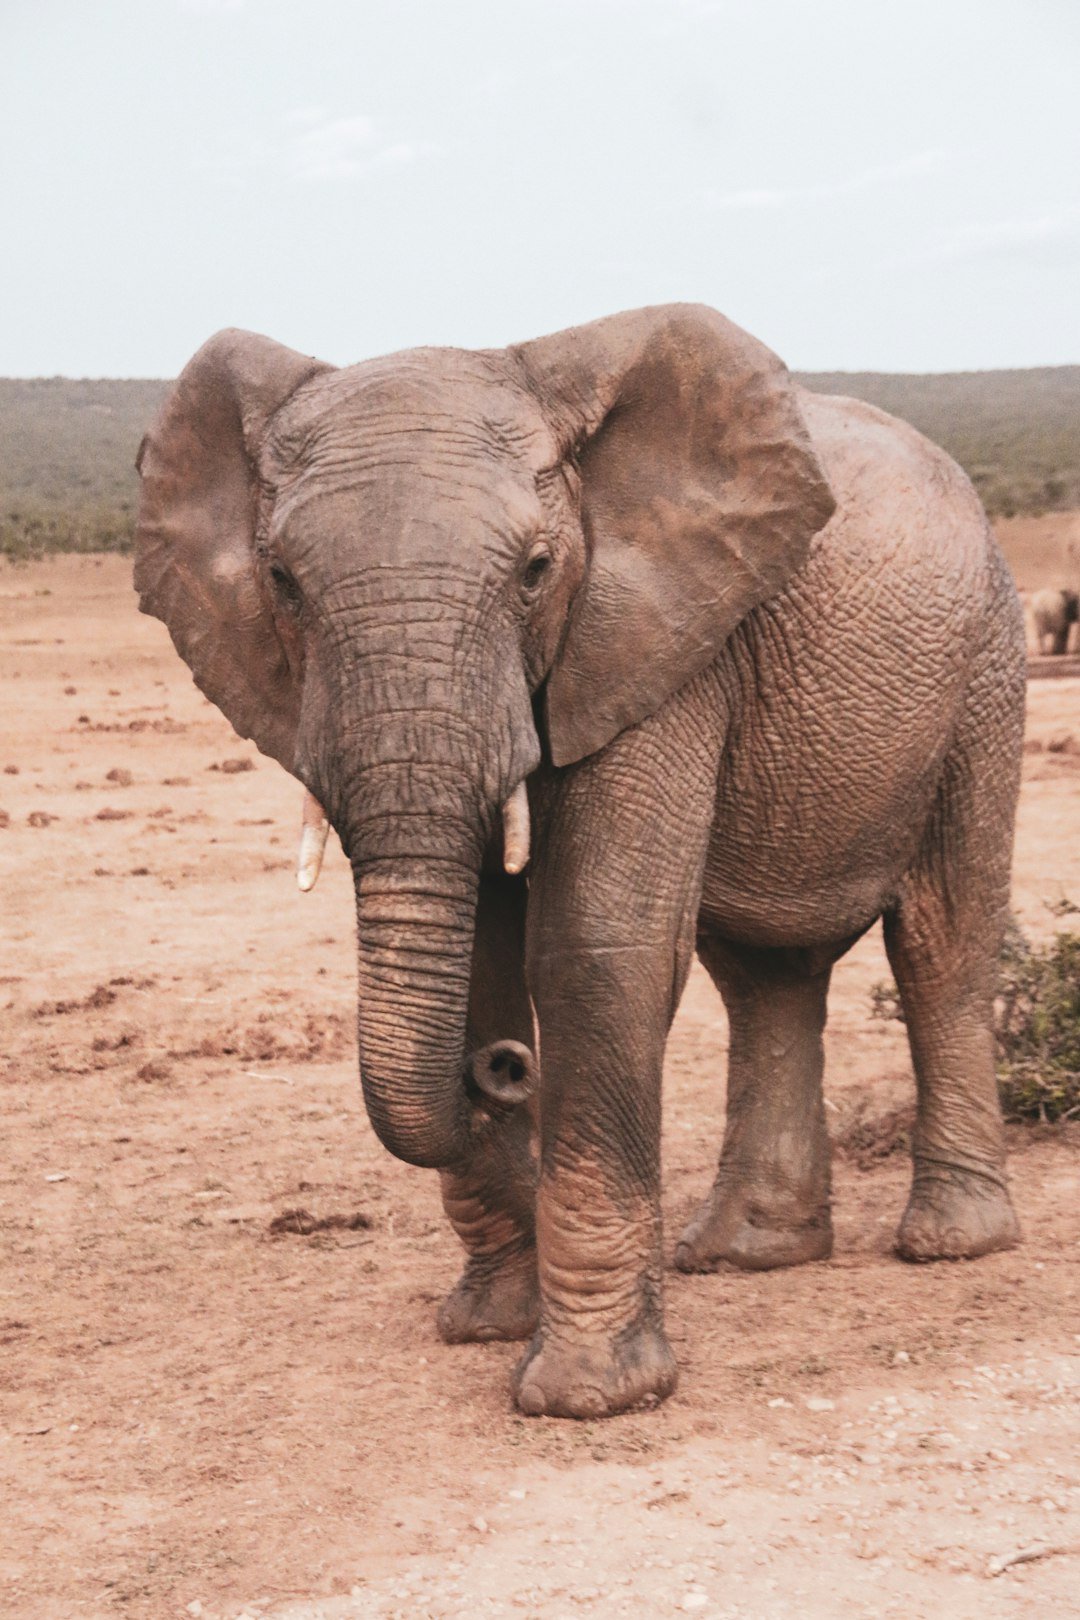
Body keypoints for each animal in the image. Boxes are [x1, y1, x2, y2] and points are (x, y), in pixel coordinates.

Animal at [134, 304, 1025, 1420]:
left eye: (535, 572)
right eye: (284, 584)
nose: (502, 1071)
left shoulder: (656, 641)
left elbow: (597, 953)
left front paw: (587, 1395)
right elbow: (481, 957)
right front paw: (488, 1325)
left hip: (987, 663)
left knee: (943, 936)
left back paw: (952, 1244)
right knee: (764, 972)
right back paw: (745, 1254)